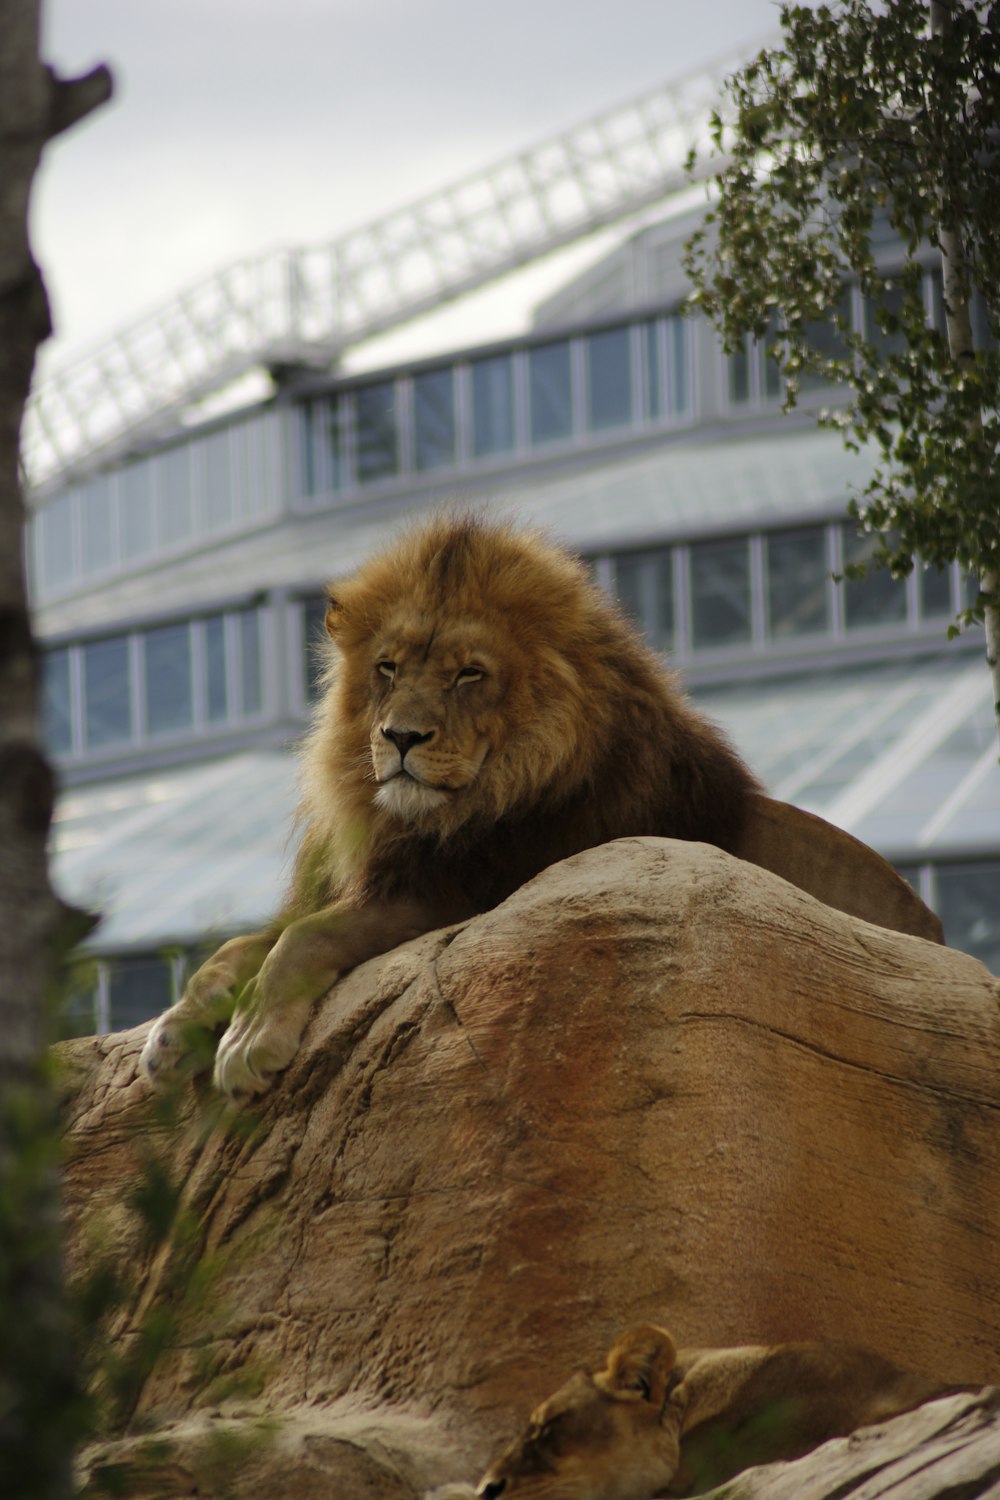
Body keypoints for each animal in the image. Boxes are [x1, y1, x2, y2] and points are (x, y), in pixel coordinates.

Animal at [138, 516, 941, 1104]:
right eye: (388, 668)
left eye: (468, 675)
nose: (400, 737)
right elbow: (238, 947)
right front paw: (176, 1031)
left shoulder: (464, 890)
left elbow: (303, 936)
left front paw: (247, 1041)